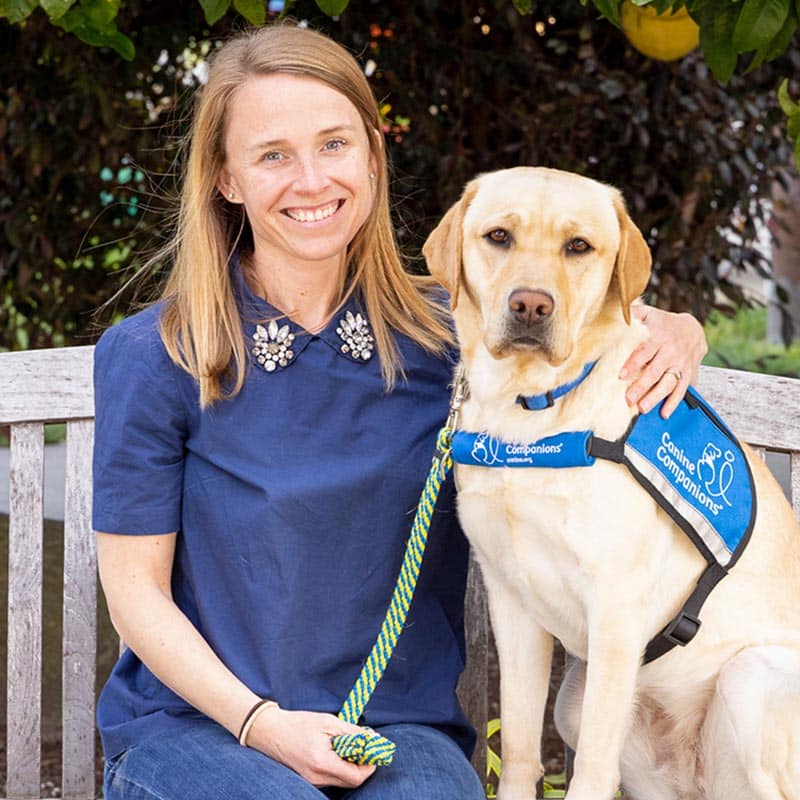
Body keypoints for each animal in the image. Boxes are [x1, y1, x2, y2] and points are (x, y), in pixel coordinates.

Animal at [424, 164, 800, 800]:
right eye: (498, 237)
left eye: (579, 247)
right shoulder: (511, 600)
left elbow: (593, 769)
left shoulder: (616, 611)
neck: (531, 410)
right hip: (577, 704)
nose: (531, 305)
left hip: (746, 678)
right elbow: (520, 747)